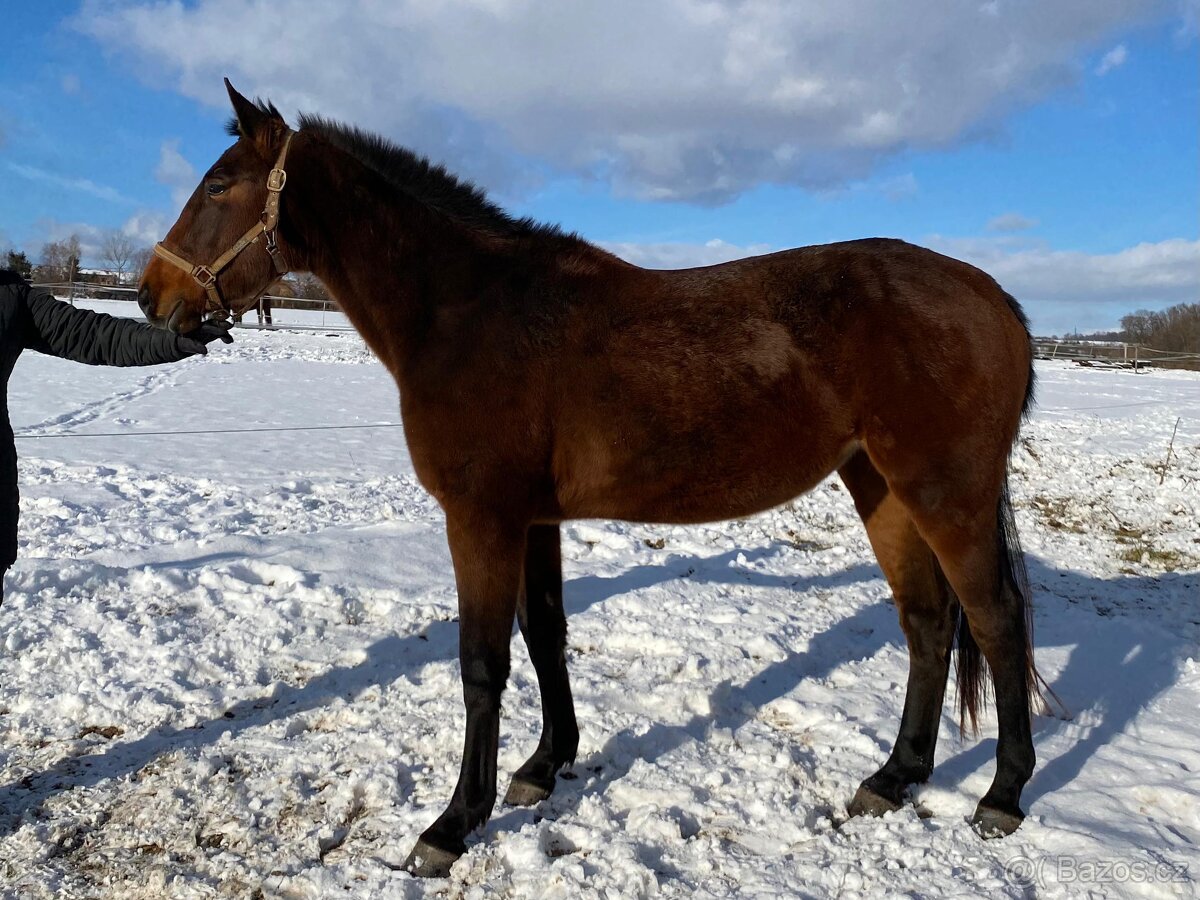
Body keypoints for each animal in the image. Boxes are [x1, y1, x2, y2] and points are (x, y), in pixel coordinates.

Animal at [138, 81, 1041, 878]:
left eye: (218, 185)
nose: (152, 296)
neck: (469, 312)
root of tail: (988, 292)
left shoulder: (482, 518)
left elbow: (482, 663)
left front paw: (453, 823)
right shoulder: (534, 519)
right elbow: (545, 634)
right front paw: (545, 766)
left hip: (945, 493)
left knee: (995, 622)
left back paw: (1002, 794)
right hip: (881, 488)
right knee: (928, 624)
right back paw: (894, 777)